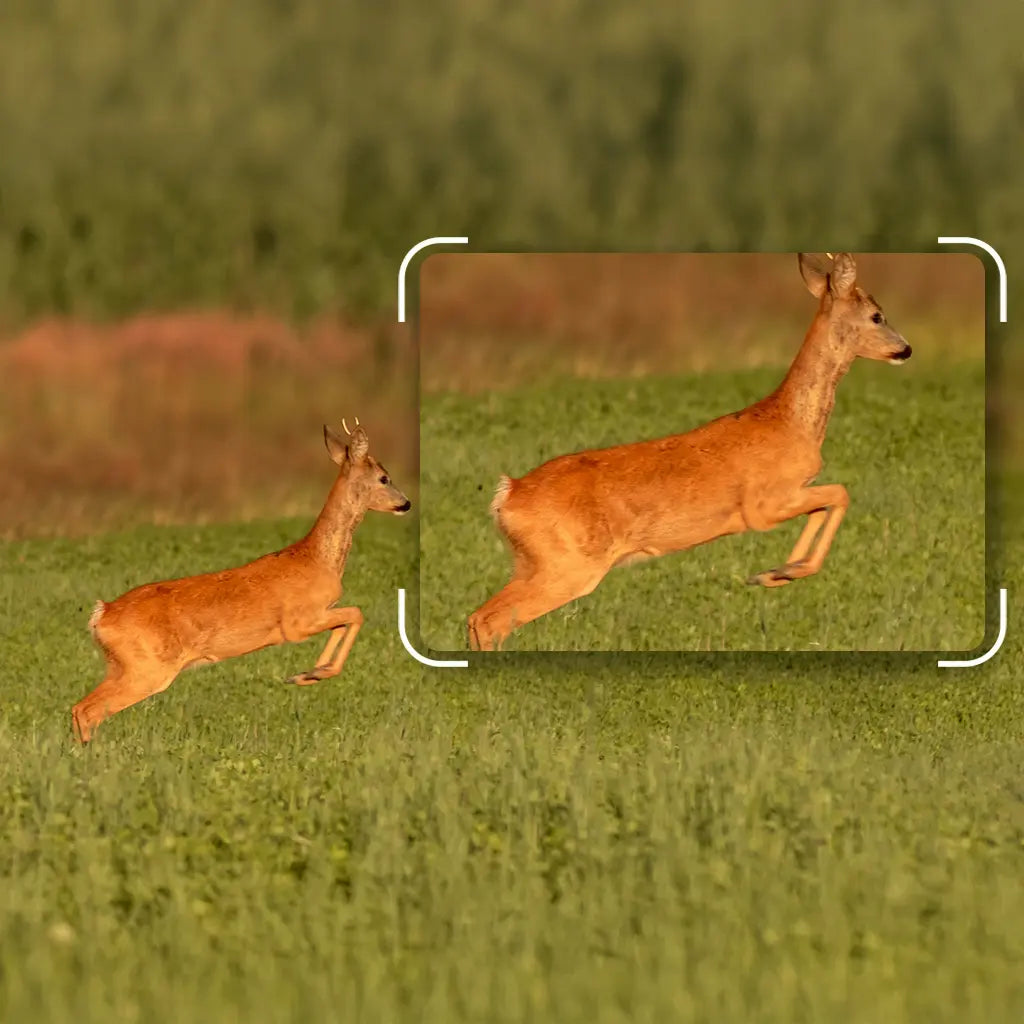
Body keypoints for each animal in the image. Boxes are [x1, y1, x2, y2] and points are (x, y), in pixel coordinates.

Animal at [72, 419, 411, 742]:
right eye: (384, 477)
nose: (406, 503)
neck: (317, 558)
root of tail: (102, 614)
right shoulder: (296, 624)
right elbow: (356, 613)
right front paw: (309, 674)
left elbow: (344, 621)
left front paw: (311, 672)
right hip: (147, 668)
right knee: (88, 710)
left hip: (121, 665)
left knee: (80, 707)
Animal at [467, 252, 913, 651]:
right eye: (877, 315)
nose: (906, 349)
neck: (789, 422)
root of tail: (508, 495)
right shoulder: (762, 507)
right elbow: (840, 493)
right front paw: (779, 572)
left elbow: (825, 503)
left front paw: (778, 572)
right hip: (567, 565)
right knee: (490, 619)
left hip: (532, 563)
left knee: (480, 616)